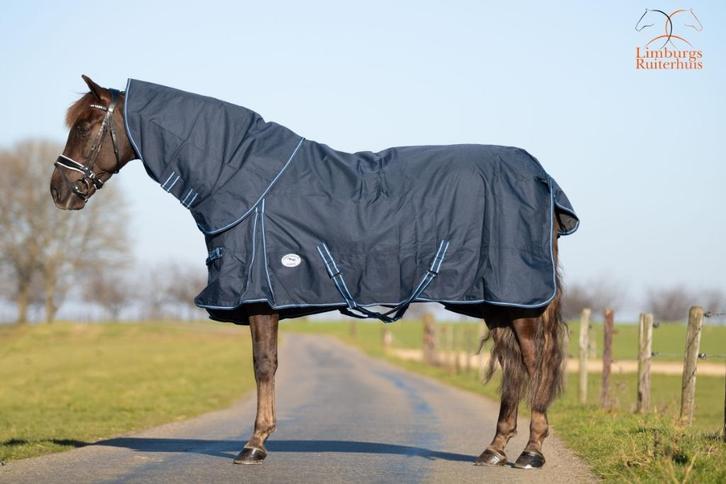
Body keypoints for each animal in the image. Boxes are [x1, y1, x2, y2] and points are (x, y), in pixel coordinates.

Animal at [50, 75, 577, 469]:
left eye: (87, 124)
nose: (59, 190)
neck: (240, 178)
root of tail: (543, 177)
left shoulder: (259, 298)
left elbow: (264, 366)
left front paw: (254, 445)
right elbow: (267, 365)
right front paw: (260, 439)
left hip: (517, 298)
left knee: (534, 362)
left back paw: (531, 452)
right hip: (497, 300)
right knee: (513, 367)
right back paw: (493, 450)